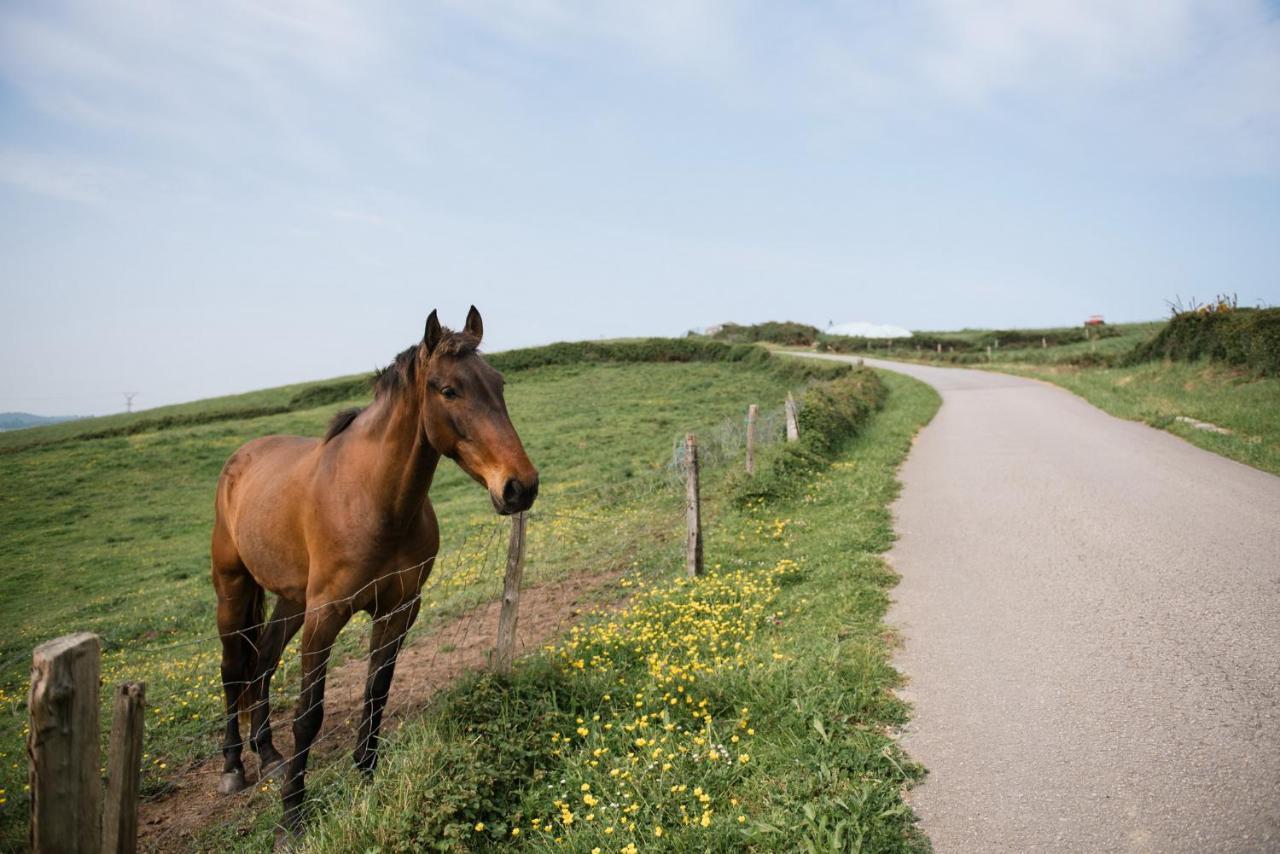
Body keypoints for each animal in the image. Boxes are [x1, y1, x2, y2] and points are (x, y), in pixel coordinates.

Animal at [208, 307, 535, 834]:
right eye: (449, 390)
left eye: (498, 383)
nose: (520, 486)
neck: (373, 500)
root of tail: (240, 457)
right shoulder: (326, 616)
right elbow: (309, 714)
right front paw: (292, 817)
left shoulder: (398, 609)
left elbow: (376, 692)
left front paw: (366, 779)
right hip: (232, 589)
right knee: (234, 670)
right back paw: (234, 766)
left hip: (290, 599)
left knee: (264, 660)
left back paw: (269, 754)